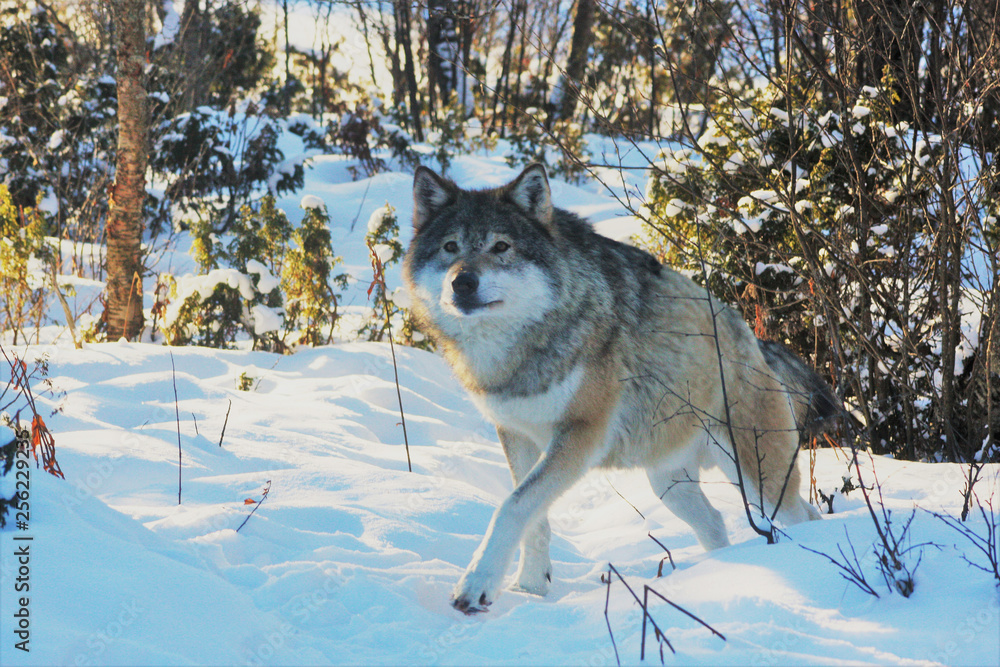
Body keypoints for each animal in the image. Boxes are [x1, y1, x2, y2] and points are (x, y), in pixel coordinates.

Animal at [402, 164, 841, 614]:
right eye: (450, 247)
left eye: (501, 246)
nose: (463, 283)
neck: (522, 345)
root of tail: (756, 342)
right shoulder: (517, 435)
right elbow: (532, 516)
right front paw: (530, 589)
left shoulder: (581, 435)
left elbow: (512, 506)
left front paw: (475, 586)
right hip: (669, 486)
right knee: (717, 522)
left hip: (760, 483)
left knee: (801, 517)